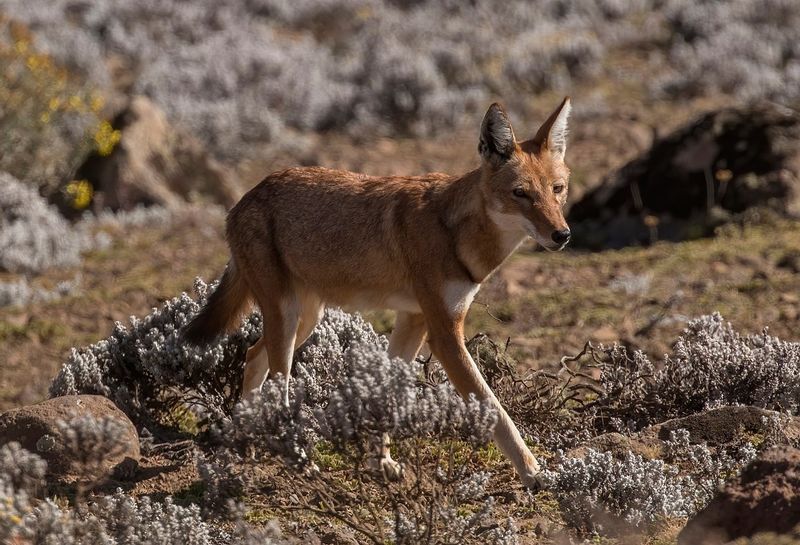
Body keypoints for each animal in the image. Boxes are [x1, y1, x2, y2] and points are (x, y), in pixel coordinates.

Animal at [186, 96, 576, 484]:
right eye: (520, 193)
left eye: (557, 190)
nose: (562, 235)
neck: (455, 232)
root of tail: (245, 198)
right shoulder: (445, 336)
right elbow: (496, 410)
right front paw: (534, 472)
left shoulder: (414, 320)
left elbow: (387, 393)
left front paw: (381, 463)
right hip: (288, 319)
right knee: (276, 382)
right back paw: (298, 459)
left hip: (305, 320)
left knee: (253, 357)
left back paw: (247, 442)